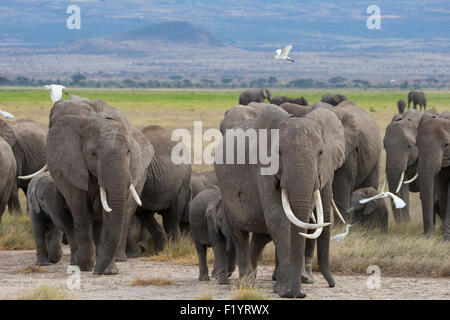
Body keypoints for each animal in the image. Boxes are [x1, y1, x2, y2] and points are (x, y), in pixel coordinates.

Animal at [214, 105, 344, 298]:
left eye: (321, 153)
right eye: (279, 153)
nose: (332, 285)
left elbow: (298, 220)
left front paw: (288, 290)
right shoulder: (262, 168)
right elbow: (279, 218)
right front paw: (287, 292)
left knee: (259, 237)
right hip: (226, 193)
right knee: (238, 234)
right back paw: (246, 283)